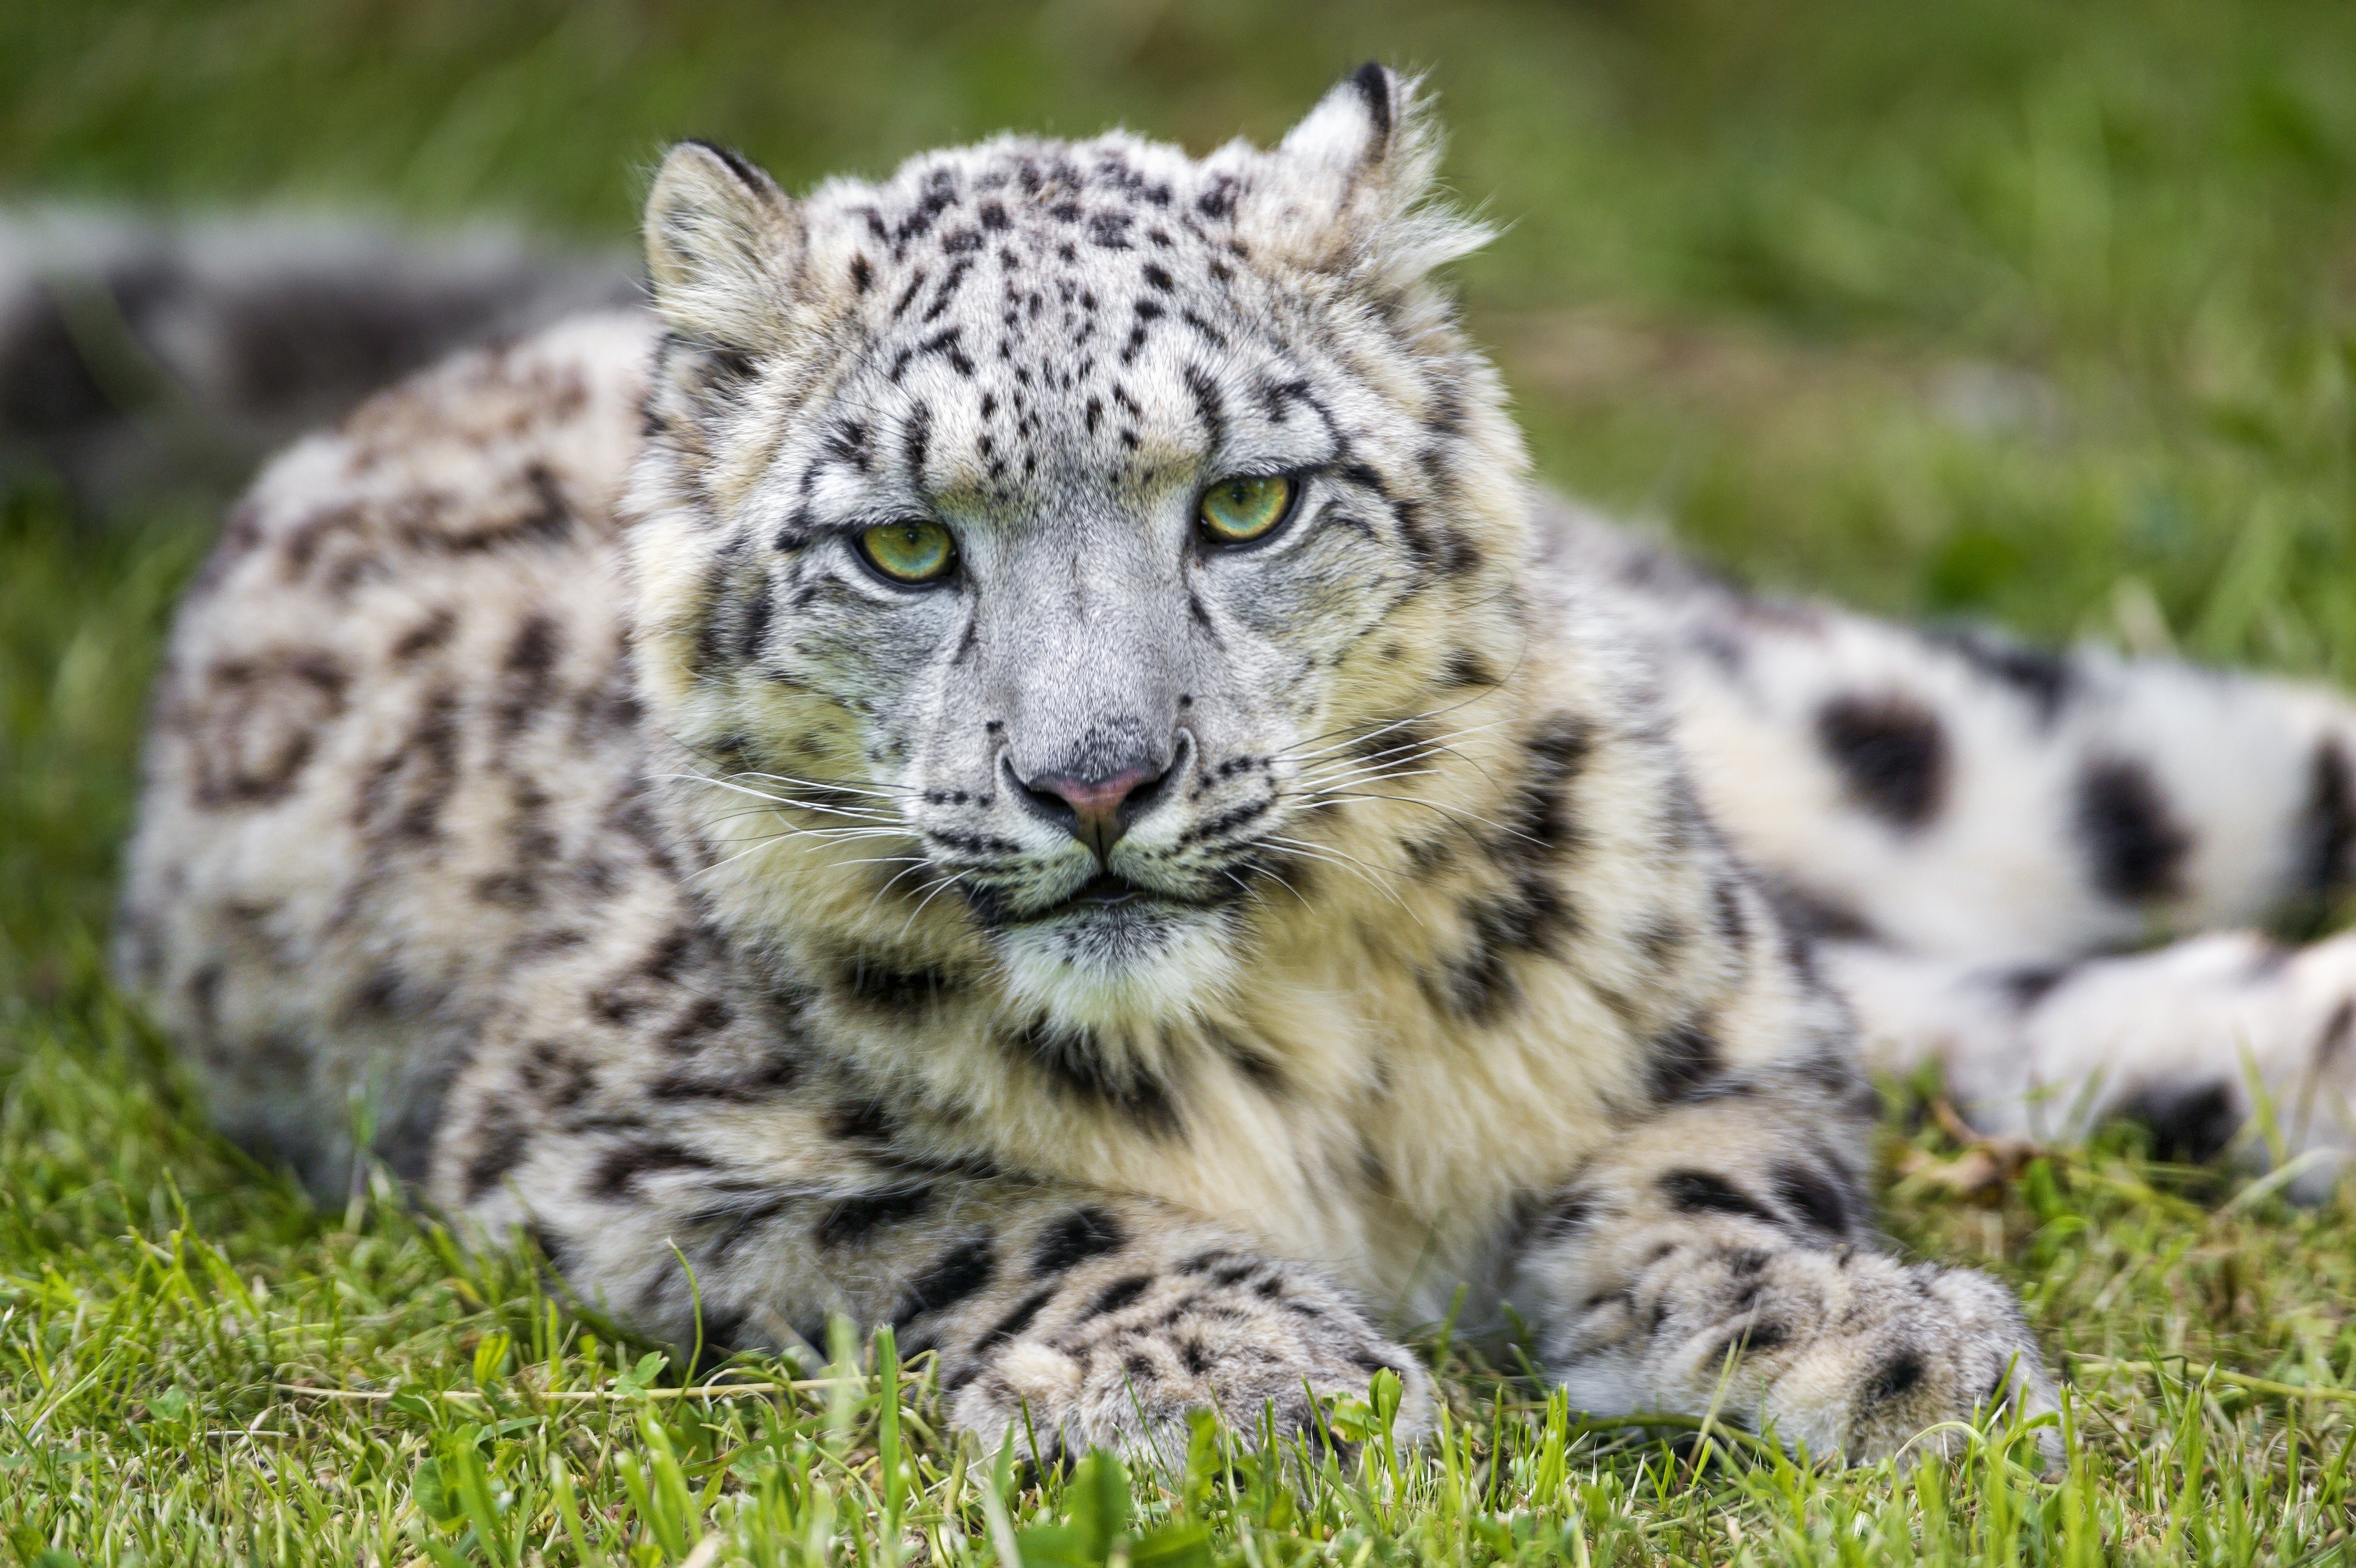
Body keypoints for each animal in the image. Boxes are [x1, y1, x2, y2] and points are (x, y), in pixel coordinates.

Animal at [116, 64, 2354, 1469]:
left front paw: (1854, 1336)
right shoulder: (608, 1133)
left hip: (1911, 746)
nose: (1098, 781)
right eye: (904, 547)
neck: (1305, 1047)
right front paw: (1261, 1369)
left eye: (1251, 502)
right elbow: (980, 1208)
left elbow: (1706, 1152)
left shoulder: (1727, 1001)